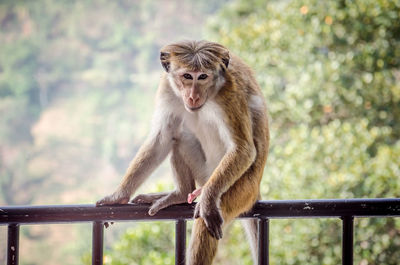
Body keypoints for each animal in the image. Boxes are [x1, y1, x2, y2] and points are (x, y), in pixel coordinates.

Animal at [96, 39, 268, 264]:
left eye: (202, 76)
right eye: (187, 76)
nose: (193, 96)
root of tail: (256, 191)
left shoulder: (228, 94)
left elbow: (243, 149)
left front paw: (208, 200)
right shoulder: (167, 88)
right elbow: (162, 137)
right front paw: (119, 196)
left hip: (241, 190)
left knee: (206, 222)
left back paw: (204, 196)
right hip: (205, 174)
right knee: (179, 138)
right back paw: (180, 192)